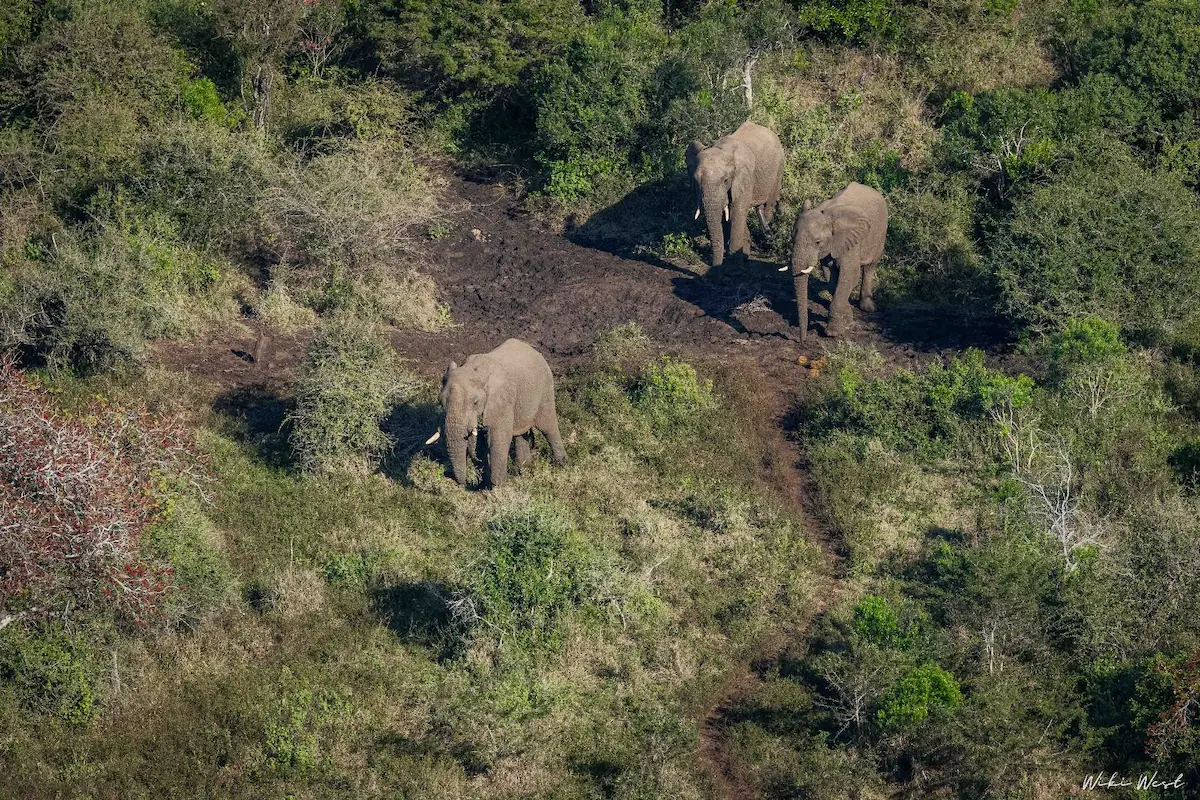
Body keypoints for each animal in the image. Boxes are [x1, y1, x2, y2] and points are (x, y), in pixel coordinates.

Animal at [425, 338, 566, 489]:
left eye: (475, 402)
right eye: (440, 402)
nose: (468, 484)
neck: (475, 369)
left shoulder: (501, 399)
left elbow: (497, 438)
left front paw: (497, 490)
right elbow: (484, 441)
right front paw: (486, 487)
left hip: (546, 386)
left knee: (548, 427)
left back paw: (562, 465)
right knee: (520, 433)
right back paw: (525, 470)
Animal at [686, 121, 784, 268]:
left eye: (726, 180)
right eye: (696, 181)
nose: (715, 266)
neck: (722, 149)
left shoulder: (744, 177)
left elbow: (738, 211)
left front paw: (733, 266)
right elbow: (727, 213)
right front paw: (741, 258)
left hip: (778, 169)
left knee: (769, 205)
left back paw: (767, 238)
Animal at [787, 181, 888, 340]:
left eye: (817, 242)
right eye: (792, 240)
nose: (801, 340)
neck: (827, 214)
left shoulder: (851, 240)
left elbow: (850, 275)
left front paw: (833, 333)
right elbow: (831, 277)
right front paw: (847, 318)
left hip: (880, 233)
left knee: (870, 267)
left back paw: (867, 308)